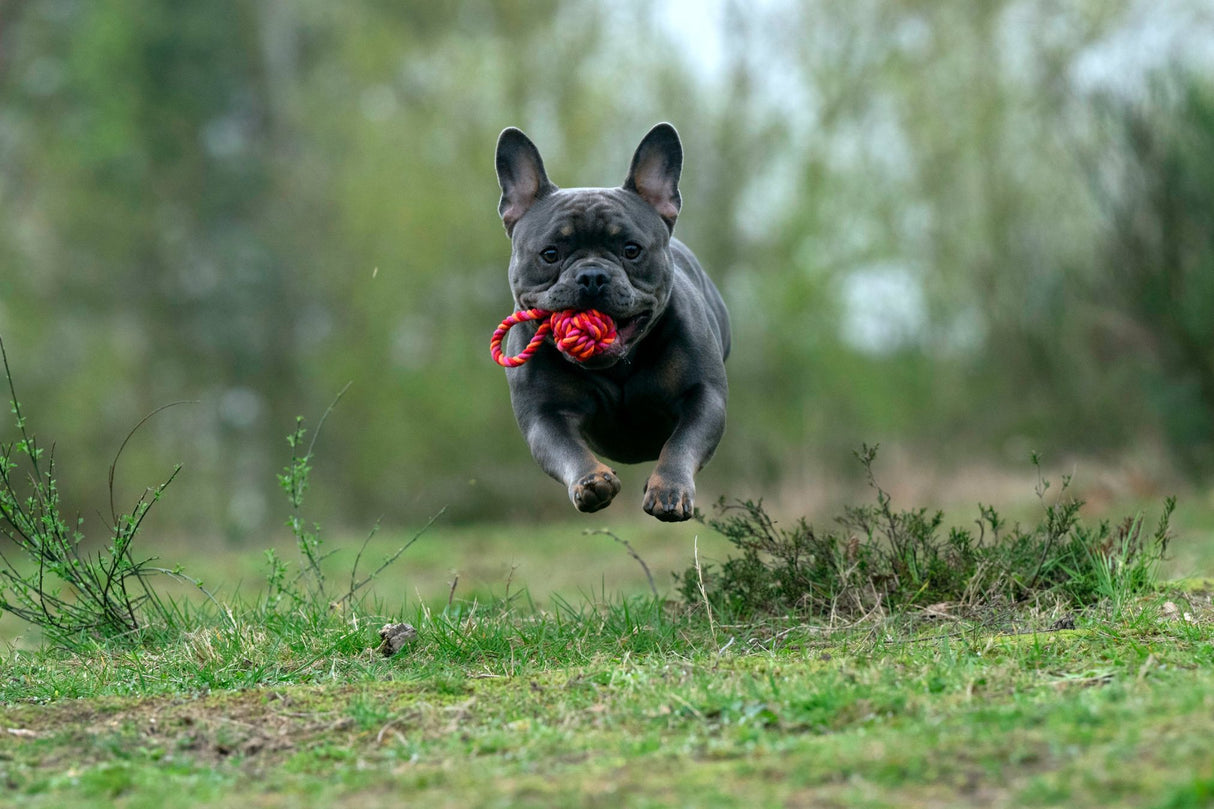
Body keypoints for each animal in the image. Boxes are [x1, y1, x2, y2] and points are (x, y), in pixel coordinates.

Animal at [492, 122, 728, 519]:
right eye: (550, 254)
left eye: (631, 250)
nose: (591, 276)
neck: (617, 365)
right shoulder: (544, 416)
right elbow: (567, 449)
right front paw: (591, 481)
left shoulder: (704, 397)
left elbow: (682, 442)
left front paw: (669, 488)